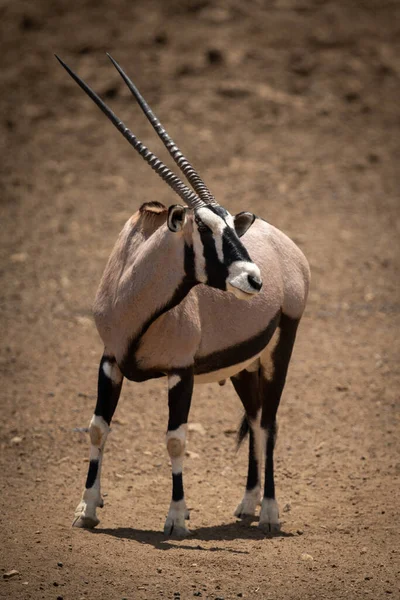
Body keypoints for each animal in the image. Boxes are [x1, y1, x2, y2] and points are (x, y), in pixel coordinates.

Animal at [57, 54, 310, 536]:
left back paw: (269, 512)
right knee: (254, 417)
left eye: (231, 225)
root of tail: (291, 250)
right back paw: (247, 504)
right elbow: (98, 427)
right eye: (206, 229)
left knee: (268, 423)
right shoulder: (109, 360)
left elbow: (175, 439)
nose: (254, 278)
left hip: (279, 350)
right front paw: (86, 509)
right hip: (243, 366)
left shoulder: (182, 371)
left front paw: (176, 518)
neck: (136, 297)